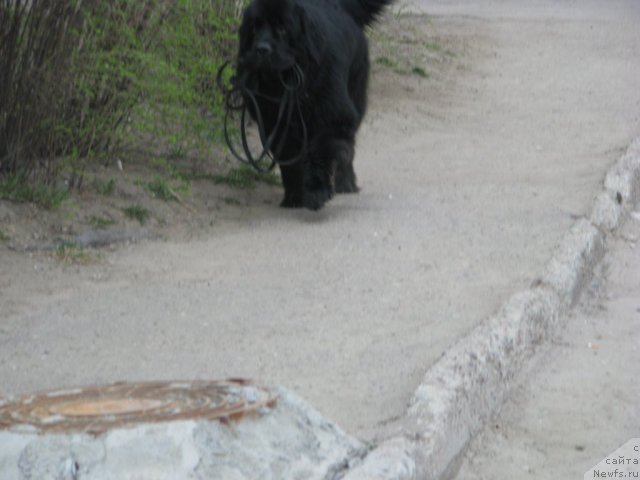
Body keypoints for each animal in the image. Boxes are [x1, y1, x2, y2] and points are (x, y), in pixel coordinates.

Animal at [234, 0, 396, 208]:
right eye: (254, 27)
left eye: (282, 28)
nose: (261, 49)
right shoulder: (277, 126)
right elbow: (290, 161)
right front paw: (294, 196)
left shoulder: (332, 118)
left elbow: (321, 152)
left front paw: (316, 192)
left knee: (348, 150)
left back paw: (346, 183)